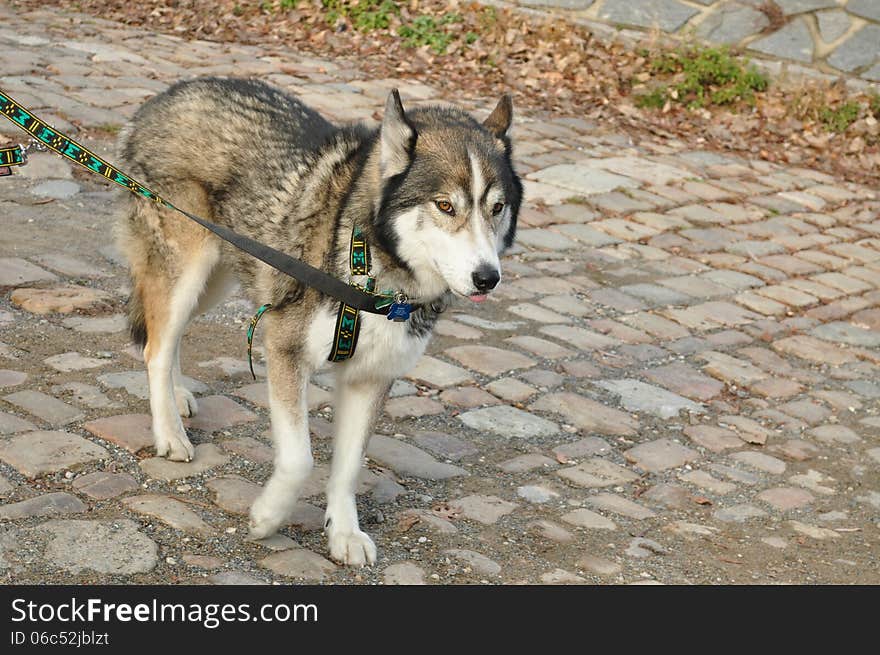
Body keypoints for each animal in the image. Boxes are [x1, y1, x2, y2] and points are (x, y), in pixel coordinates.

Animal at [116, 77, 516, 568]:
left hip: (220, 277)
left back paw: (176, 397)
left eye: (497, 208)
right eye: (445, 205)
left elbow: (348, 468)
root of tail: (169, 93)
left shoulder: (370, 378)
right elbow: (300, 460)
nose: (488, 277)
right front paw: (268, 517)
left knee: (166, 337)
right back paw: (170, 432)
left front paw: (343, 533)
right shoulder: (284, 347)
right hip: (188, 271)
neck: (371, 265)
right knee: (156, 345)